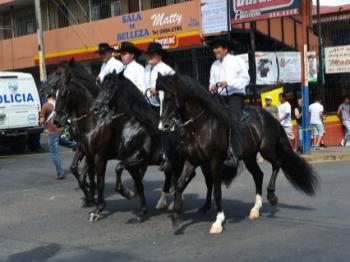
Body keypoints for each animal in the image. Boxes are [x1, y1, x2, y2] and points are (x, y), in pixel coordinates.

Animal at [157, 73, 318, 233]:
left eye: (169, 97)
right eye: (158, 98)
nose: (163, 125)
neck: (201, 126)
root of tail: (269, 116)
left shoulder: (215, 161)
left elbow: (216, 190)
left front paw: (218, 221)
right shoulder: (192, 160)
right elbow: (179, 184)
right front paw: (175, 216)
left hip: (266, 150)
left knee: (277, 164)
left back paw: (271, 196)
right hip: (250, 157)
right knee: (258, 175)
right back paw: (255, 209)